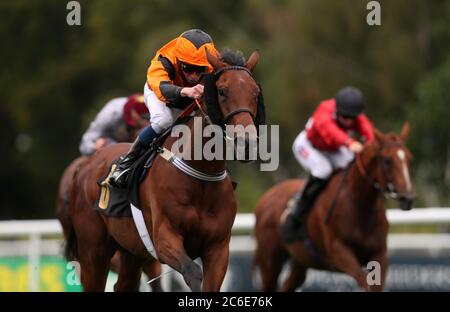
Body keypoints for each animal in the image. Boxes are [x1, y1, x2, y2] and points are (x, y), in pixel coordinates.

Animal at [65, 47, 266, 292]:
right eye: (222, 91)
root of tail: (84, 166)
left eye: (255, 93)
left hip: (132, 251)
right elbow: (192, 272)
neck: (201, 174)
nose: (247, 143)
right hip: (93, 250)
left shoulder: (218, 249)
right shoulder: (164, 239)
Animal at [253, 123, 414, 292]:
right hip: (270, 260)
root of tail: (265, 198)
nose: (408, 198)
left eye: (410, 159)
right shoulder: (339, 252)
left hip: (300, 259)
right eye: (387, 160)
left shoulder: (379, 254)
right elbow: (364, 283)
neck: (360, 205)